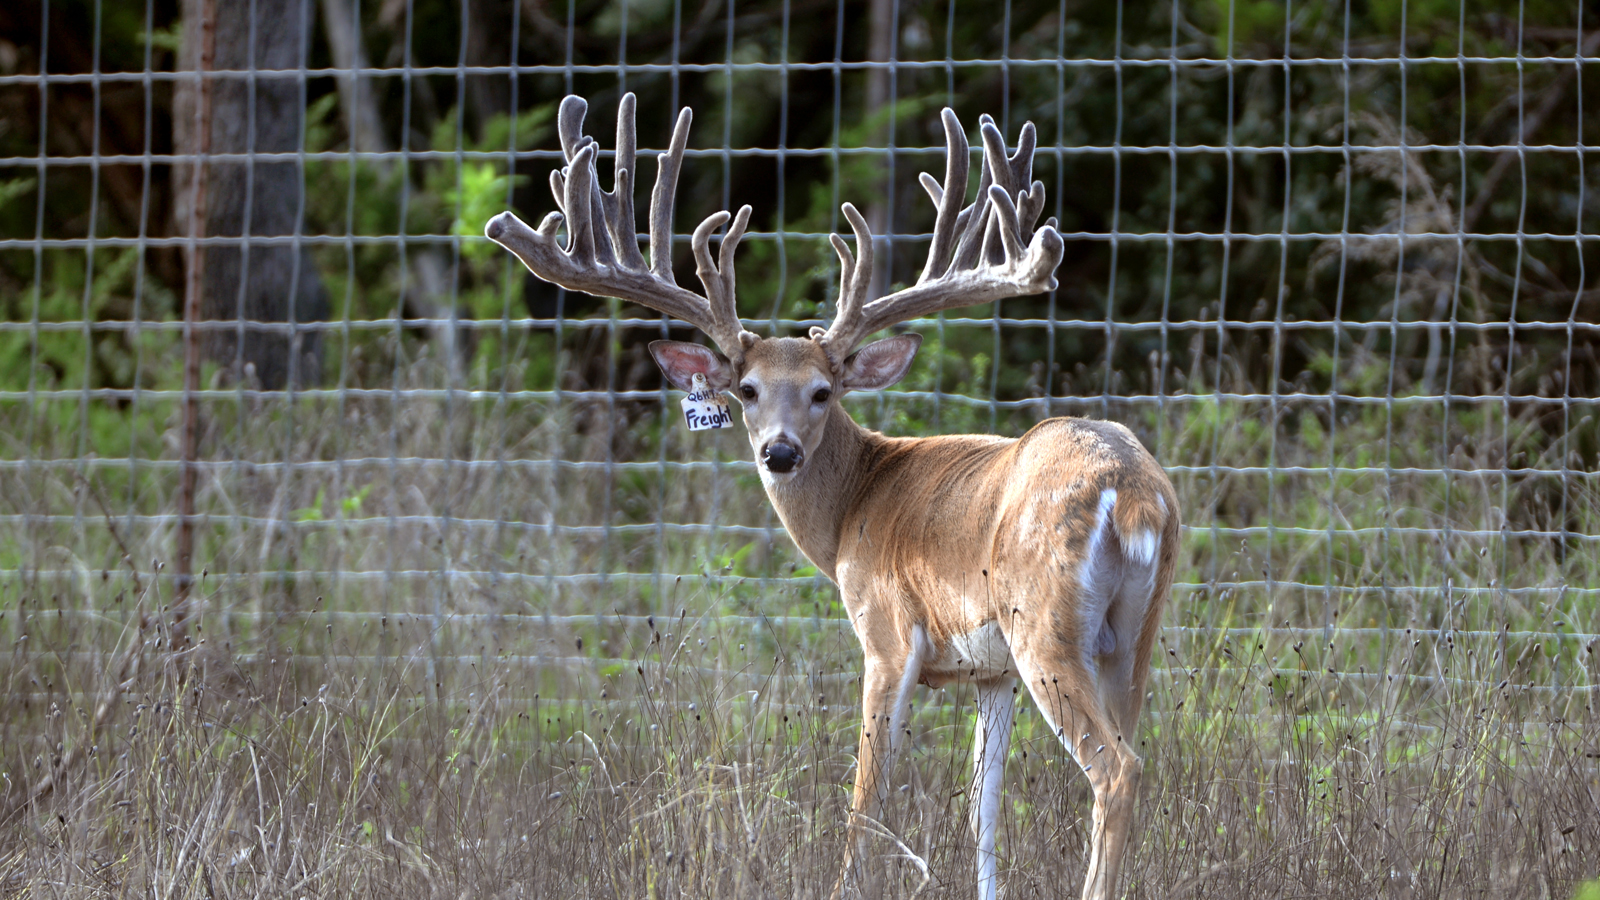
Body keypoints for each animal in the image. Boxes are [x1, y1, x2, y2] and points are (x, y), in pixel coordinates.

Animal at [483, 91, 1177, 896]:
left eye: (822, 391)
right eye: (747, 390)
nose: (779, 452)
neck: (855, 507)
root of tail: (1133, 492)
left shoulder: (887, 629)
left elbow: (865, 802)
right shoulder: (991, 670)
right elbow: (983, 812)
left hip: (1045, 620)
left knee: (1116, 770)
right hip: (1130, 638)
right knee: (1131, 752)